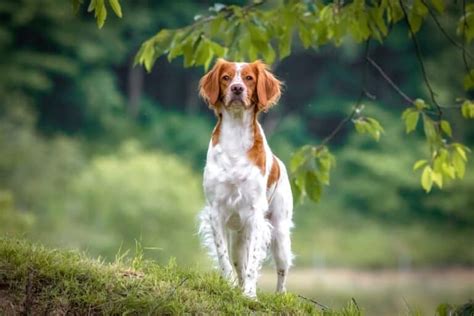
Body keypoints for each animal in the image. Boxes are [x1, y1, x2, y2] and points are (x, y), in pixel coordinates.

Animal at [196, 59, 292, 298]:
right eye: (226, 77)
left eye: (249, 78)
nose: (237, 89)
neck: (236, 136)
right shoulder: (216, 211)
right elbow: (224, 258)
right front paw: (230, 287)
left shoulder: (256, 214)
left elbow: (254, 262)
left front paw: (250, 295)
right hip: (239, 239)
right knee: (239, 262)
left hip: (280, 234)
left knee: (282, 271)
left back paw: (279, 295)